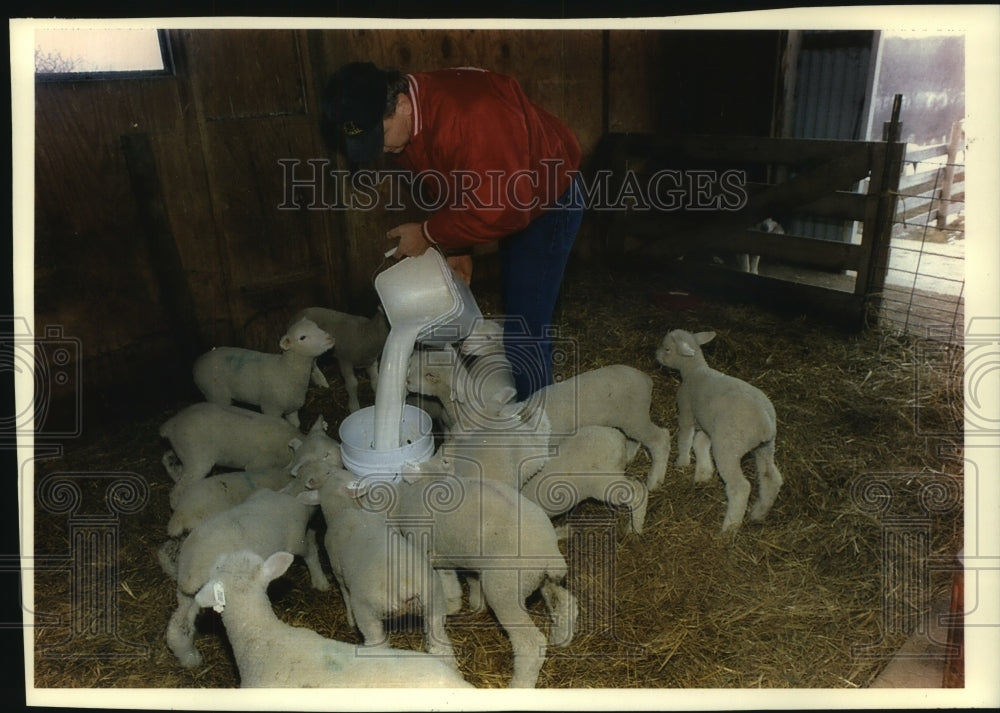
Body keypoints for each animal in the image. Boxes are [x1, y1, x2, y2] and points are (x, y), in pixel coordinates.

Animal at [193, 316, 334, 426]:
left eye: (317, 326)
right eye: (302, 337)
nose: (330, 338)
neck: (285, 370)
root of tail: (198, 362)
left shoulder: (292, 408)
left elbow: (296, 425)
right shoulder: (271, 408)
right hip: (216, 395)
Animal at [292, 462, 458, 660]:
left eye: (328, 472)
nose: (330, 467)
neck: (345, 508)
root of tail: (404, 586)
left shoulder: (337, 571)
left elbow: (345, 594)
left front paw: (350, 620)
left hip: (368, 614)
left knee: (377, 644)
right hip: (434, 602)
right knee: (440, 644)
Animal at [660, 326, 784, 528]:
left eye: (667, 349)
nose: (656, 355)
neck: (694, 370)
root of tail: (764, 425)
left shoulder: (686, 411)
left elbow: (685, 438)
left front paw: (682, 462)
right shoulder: (709, 426)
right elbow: (699, 443)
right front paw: (703, 473)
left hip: (728, 448)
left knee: (740, 487)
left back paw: (729, 528)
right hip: (765, 447)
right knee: (770, 478)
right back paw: (759, 513)